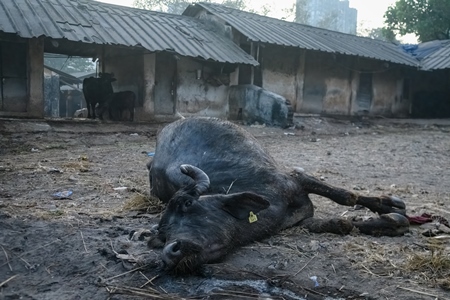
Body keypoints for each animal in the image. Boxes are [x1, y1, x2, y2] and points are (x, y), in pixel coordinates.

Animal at [147, 118, 408, 274]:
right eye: (163, 234)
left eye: (188, 203)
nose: (170, 252)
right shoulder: (301, 219)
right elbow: (341, 224)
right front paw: (389, 222)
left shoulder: (295, 178)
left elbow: (347, 197)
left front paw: (389, 208)